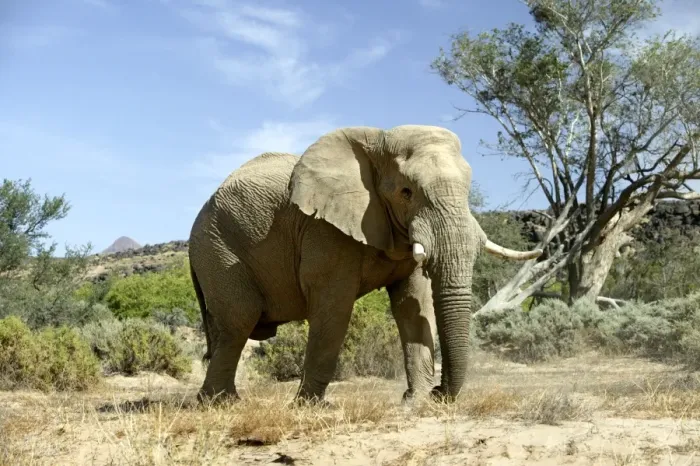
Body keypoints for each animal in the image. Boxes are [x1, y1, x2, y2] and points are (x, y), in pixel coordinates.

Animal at [188, 125, 542, 405]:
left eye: (469, 190)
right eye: (406, 192)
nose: (440, 393)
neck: (375, 144)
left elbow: (413, 305)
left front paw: (415, 401)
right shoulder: (325, 229)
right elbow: (335, 308)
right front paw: (311, 407)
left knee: (226, 327)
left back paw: (224, 400)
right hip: (217, 247)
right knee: (239, 322)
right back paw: (220, 404)